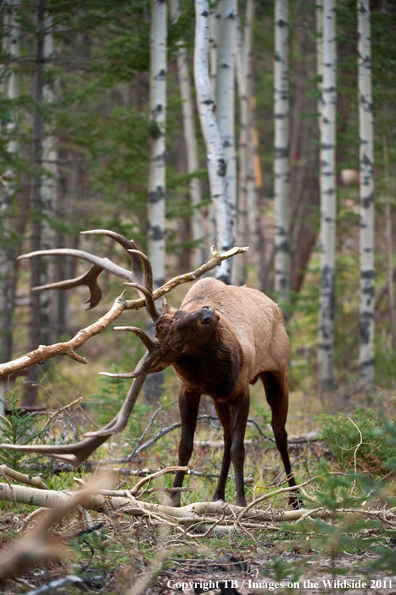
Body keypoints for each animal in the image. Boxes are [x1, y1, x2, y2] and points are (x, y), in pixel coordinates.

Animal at [0, 230, 298, 510]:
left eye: (180, 315)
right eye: (177, 344)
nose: (208, 313)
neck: (217, 375)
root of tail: (275, 307)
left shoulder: (240, 389)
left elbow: (239, 449)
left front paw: (241, 503)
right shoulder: (190, 389)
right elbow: (186, 446)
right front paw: (175, 500)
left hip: (278, 373)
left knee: (280, 433)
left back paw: (294, 499)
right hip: (222, 401)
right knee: (226, 436)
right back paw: (218, 496)